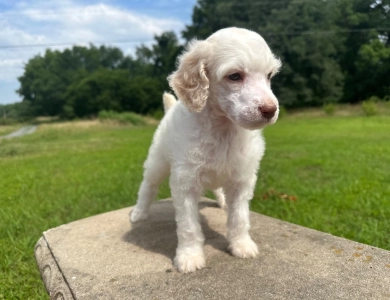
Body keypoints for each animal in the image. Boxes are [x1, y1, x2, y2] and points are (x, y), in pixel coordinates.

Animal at [130, 27, 280, 274]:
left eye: (269, 76)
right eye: (235, 76)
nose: (270, 110)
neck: (223, 128)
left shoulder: (242, 180)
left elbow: (240, 217)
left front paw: (241, 245)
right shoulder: (185, 182)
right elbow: (188, 226)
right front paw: (190, 257)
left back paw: (222, 202)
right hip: (158, 161)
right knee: (148, 186)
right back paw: (139, 213)